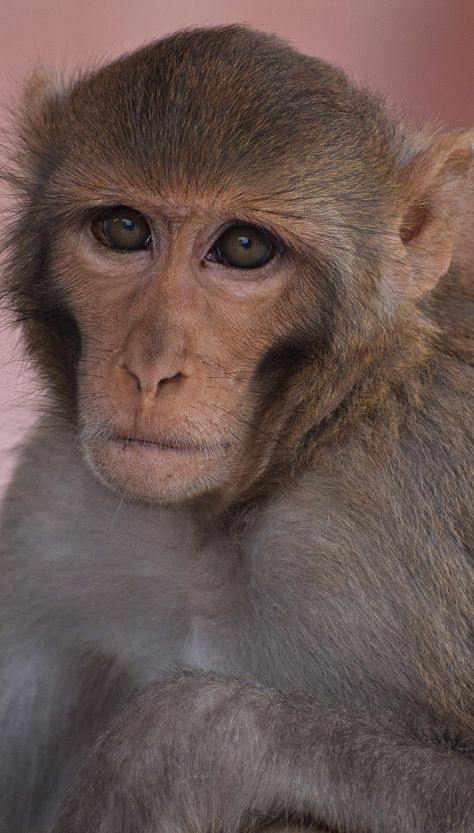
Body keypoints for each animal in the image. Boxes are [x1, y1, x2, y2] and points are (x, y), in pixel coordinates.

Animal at [0, 22, 472, 832]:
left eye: (245, 247)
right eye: (124, 229)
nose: (151, 369)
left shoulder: (412, 497)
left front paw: (163, 749)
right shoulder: (52, 512)